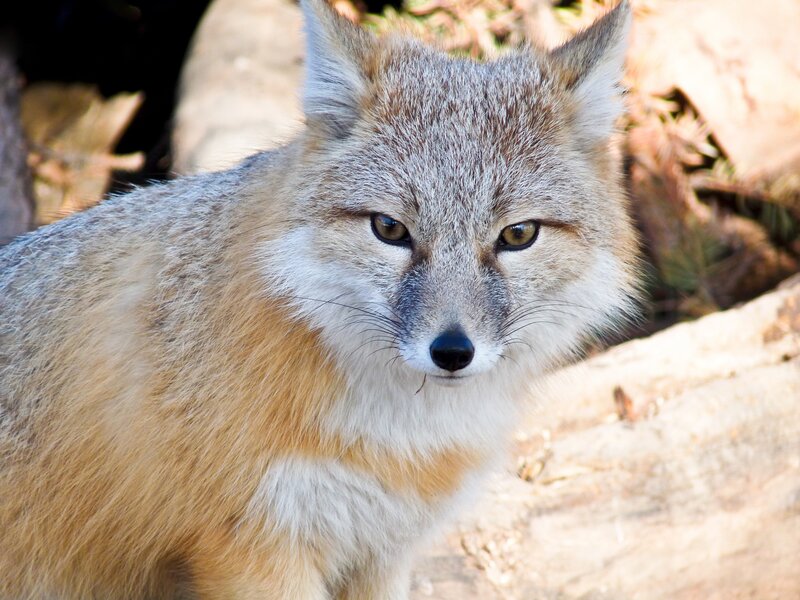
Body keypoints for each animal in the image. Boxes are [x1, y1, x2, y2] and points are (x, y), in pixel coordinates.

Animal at [0, 1, 636, 598]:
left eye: (517, 235)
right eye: (389, 229)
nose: (453, 351)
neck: (395, 438)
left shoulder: (382, 551)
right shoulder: (254, 548)